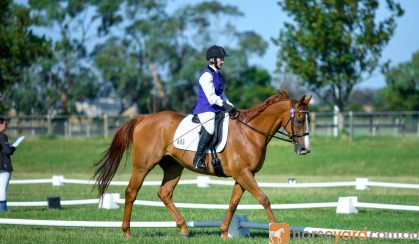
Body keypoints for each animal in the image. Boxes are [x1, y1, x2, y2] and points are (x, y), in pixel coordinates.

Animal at [92, 88, 312, 239]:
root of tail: (143, 118)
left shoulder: (244, 175)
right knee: (131, 192)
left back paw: (184, 229)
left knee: (165, 193)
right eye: (299, 120)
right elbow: (263, 199)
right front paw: (276, 231)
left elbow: (233, 203)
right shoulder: (243, 173)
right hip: (143, 166)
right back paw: (127, 232)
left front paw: (224, 232)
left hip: (173, 167)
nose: (305, 150)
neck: (250, 132)